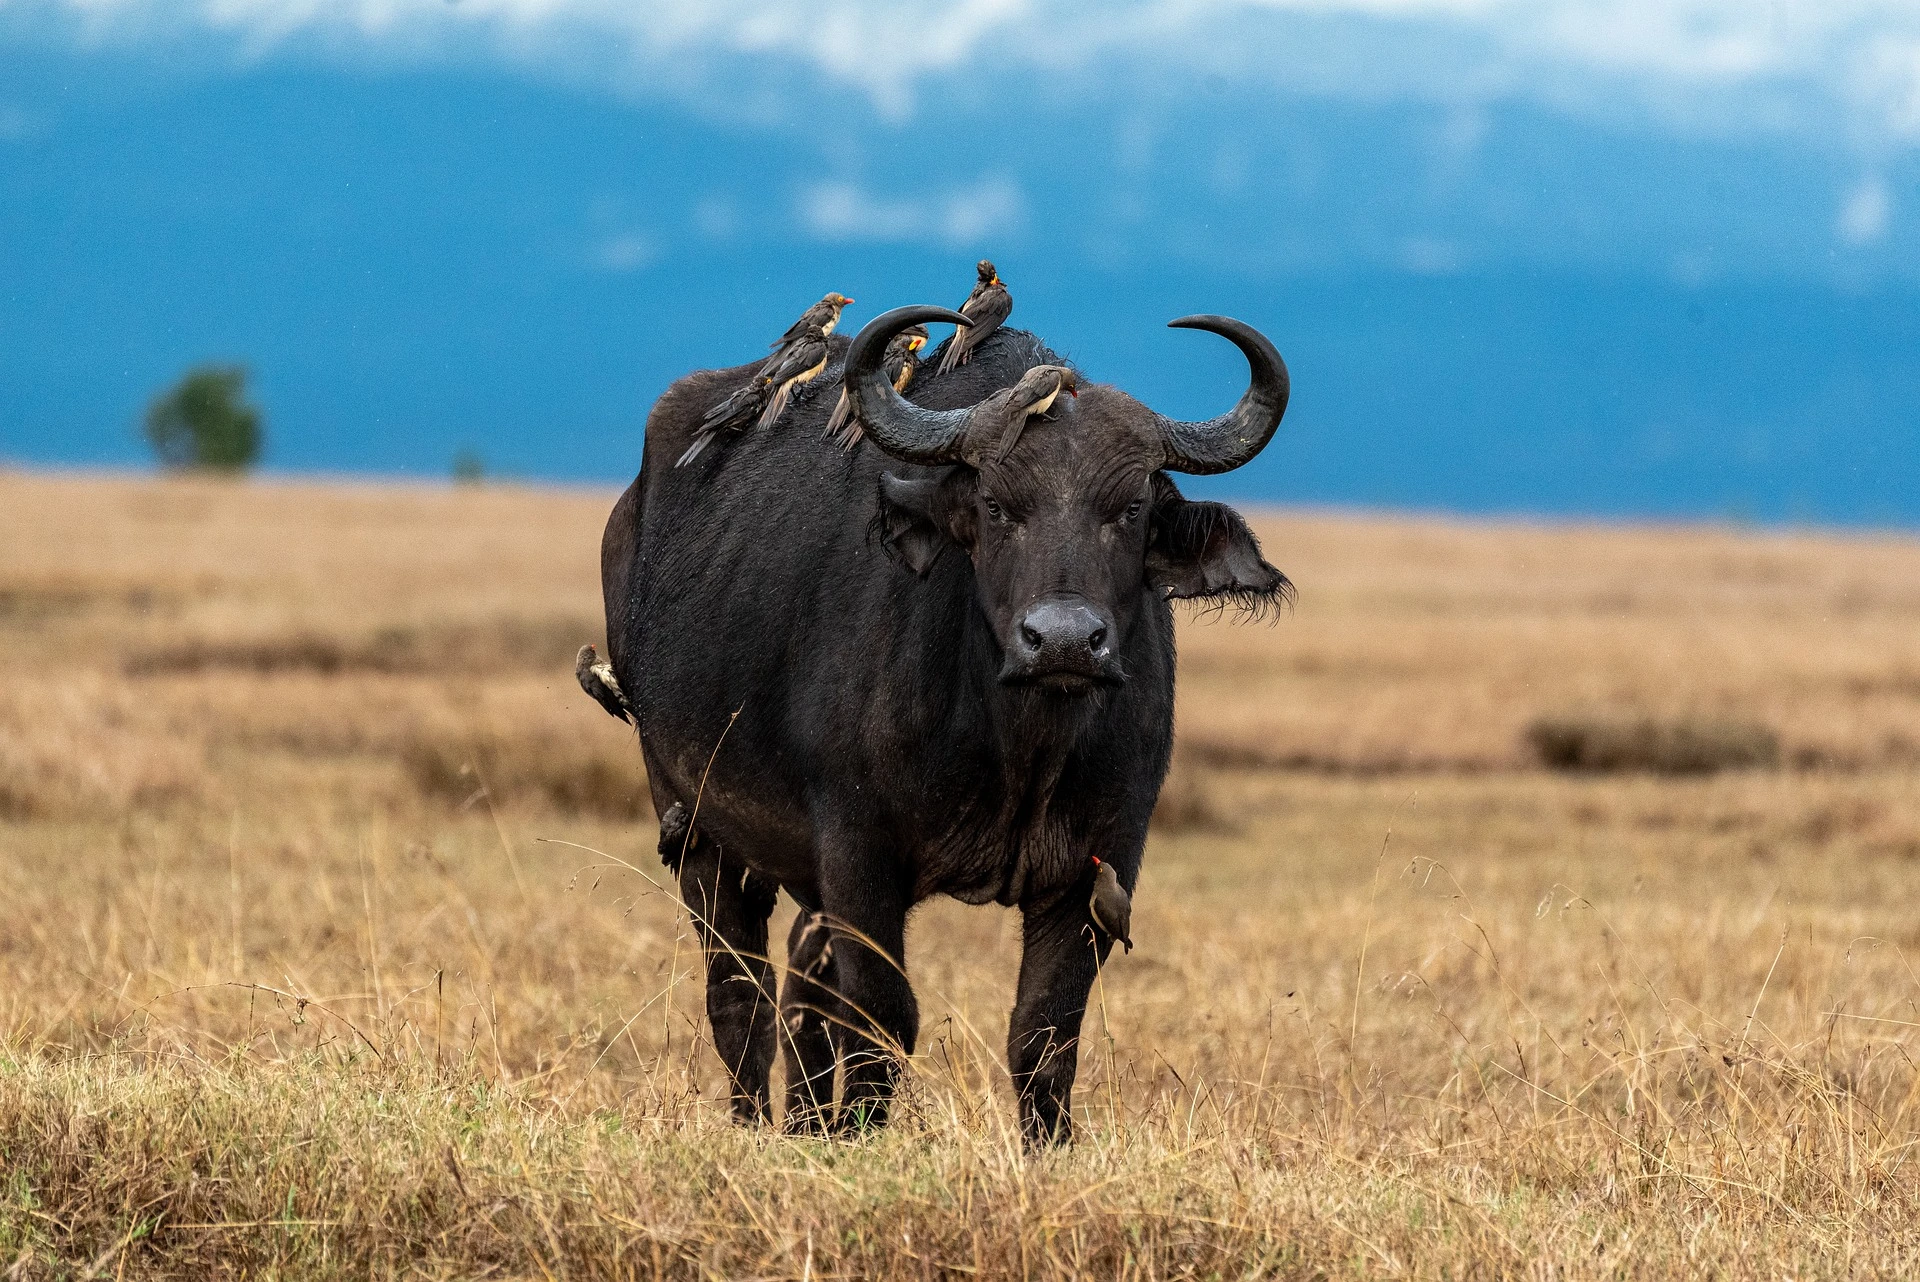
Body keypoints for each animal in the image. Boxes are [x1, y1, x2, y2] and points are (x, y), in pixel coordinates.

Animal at [599, 303, 1290, 1143]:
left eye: (1131, 509)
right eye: (995, 505)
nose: (1064, 640)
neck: (1021, 746)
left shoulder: (1101, 864)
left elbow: (1043, 1031)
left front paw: (1046, 1144)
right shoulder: (858, 851)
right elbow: (882, 1015)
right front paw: (862, 1131)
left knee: (800, 983)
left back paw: (806, 1122)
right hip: (695, 822)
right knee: (740, 991)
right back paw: (758, 1122)